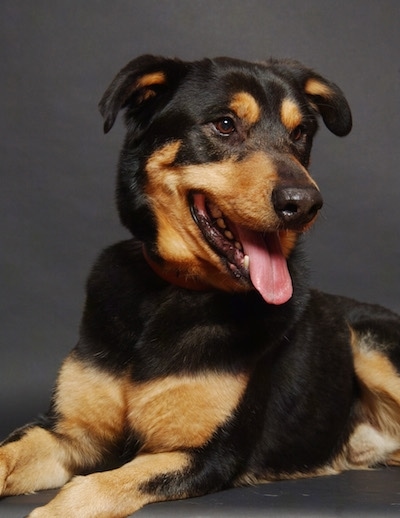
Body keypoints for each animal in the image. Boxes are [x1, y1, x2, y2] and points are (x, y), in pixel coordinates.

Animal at [0, 54, 400, 516]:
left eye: (300, 133)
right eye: (224, 124)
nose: (305, 203)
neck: (171, 292)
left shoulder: (205, 456)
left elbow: (96, 486)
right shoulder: (67, 435)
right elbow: (8, 453)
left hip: (369, 343)